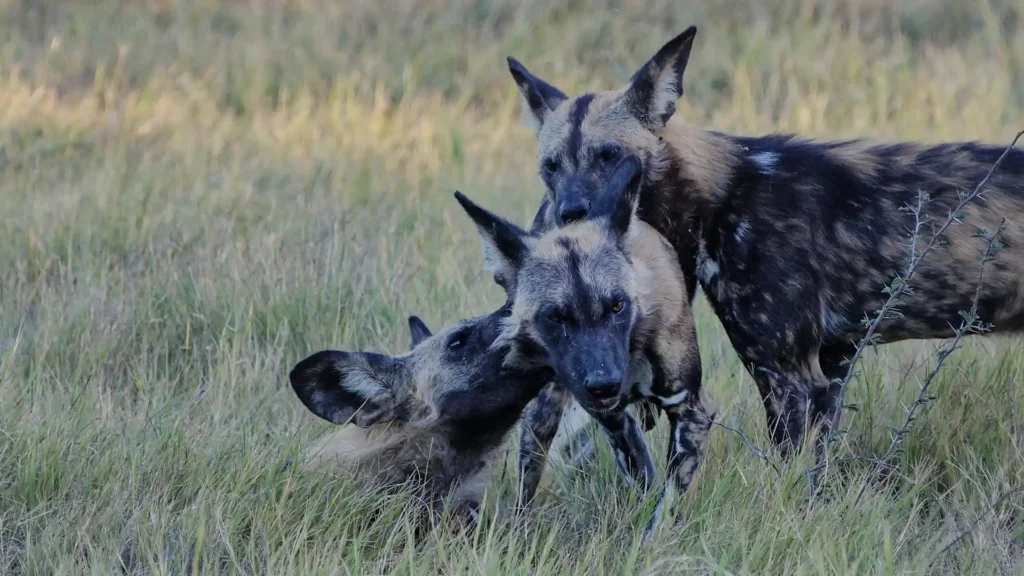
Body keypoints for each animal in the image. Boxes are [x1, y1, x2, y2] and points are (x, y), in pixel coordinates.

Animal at [456, 152, 712, 537]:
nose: (604, 383)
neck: (631, 347)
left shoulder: (690, 414)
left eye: (617, 306)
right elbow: (647, 484)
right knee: (528, 481)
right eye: (556, 317)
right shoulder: (612, 420)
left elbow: (663, 506)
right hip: (541, 418)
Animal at [507, 25, 1024, 471]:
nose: (570, 212)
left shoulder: (788, 378)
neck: (718, 200)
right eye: (550, 166)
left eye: (609, 155)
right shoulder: (830, 368)